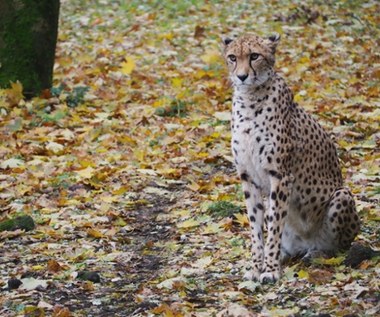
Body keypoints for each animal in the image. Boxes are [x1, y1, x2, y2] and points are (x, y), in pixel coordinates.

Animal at [224, 34, 360, 282]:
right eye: (232, 57)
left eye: (254, 56)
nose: (242, 76)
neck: (250, 99)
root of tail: (305, 244)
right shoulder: (248, 178)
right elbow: (257, 227)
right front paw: (256, 267)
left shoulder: (280, 176)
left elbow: (274, 227)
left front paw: (269, 269)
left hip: (341, 195)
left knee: (338, 248)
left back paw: (317, 253)